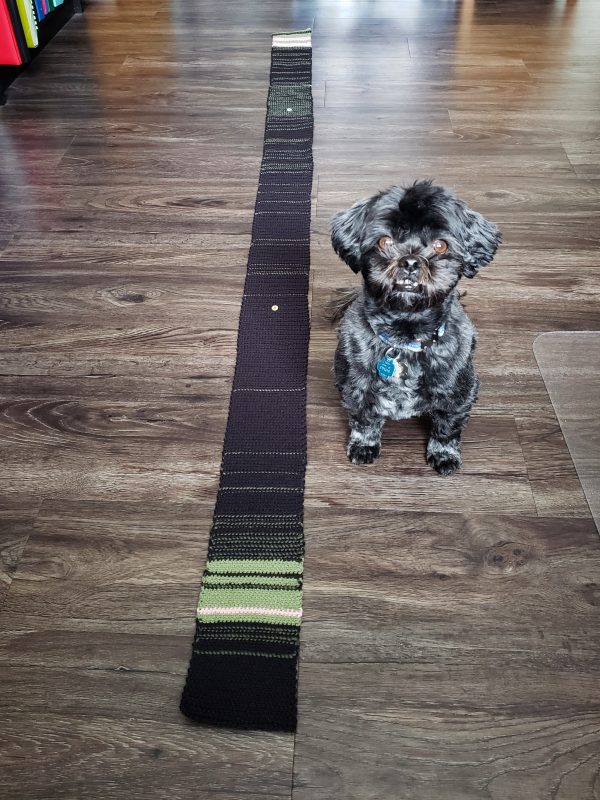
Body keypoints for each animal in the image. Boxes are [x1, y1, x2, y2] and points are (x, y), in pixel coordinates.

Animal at [330, 180, 500, 476]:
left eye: (440, 245)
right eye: (385, 241)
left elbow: (446, 428)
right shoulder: (355, 386)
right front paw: (364, 445)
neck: (404, 336)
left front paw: (444, 455)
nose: (410, 261)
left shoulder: (459, 394)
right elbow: (364, 419)